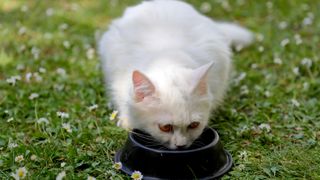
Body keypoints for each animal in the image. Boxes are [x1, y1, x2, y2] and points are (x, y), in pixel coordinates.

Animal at [97, 0, 252, 149]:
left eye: (194, 125)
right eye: (165, 127)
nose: (181, 145)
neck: (167, 58)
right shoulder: (117, 82)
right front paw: (127, 123)